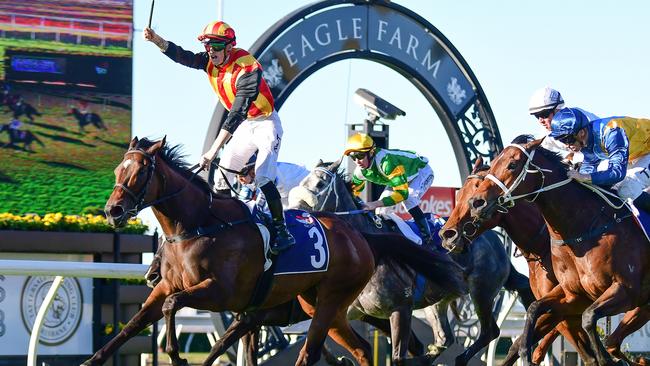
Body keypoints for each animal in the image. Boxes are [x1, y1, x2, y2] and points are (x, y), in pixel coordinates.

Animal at [83, 138, 464, 366]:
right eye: (118, 169)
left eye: (140, 171)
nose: (113, 210)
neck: (203, 224)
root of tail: (360, 237)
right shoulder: (192, 294)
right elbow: (136, 323)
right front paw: (93, 360)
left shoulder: (223, 293)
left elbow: (173, 307)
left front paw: (176, 355)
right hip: (328, 306)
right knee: (359, 349)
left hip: (332, 302)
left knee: (312, 353)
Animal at [288, 160, 532, 366]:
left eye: (320, 183)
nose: (294, 213)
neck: (373, 249)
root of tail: (494, 239)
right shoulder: (350, 311)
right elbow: (317, 339)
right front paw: (340, 360)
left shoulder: (400, 309)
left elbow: (398, 355)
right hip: (438, 302)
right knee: (445, 338)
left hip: (482, 290)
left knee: (490, 331)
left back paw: (458, 358)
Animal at [466, 138, 648, 366]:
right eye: (492, 165)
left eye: (512, 165)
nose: (476, 203)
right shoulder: (573, 297)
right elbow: (534, 309)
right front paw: (525, 352)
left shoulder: (625, 290)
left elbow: (589, 319)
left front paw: (604, 359)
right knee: (613, 342)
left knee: (611, 340)